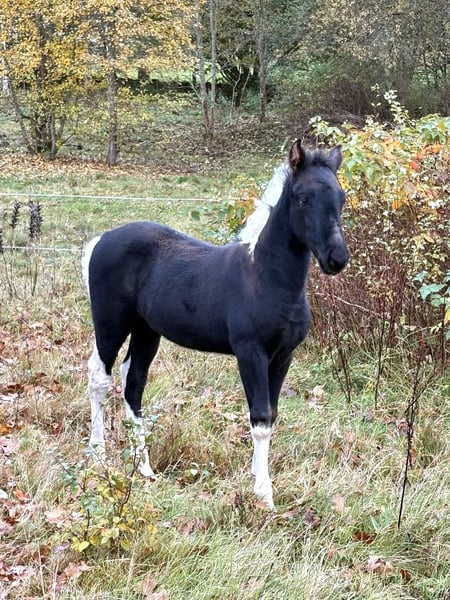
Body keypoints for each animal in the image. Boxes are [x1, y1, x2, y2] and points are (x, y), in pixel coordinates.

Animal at [82, 140, 349, 509]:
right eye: (302, 198)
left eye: (341, 197)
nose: (337, 258)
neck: (265, 277)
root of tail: (101, 240)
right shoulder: (250, 352)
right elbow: (260, 419)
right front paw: (264, 494)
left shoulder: (283, 356)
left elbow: (271, 414)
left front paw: (257, 477)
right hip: (111, 323)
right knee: (99, 377)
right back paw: (98, 456)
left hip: (147, 331)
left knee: (132, 383)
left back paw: (145, 468)